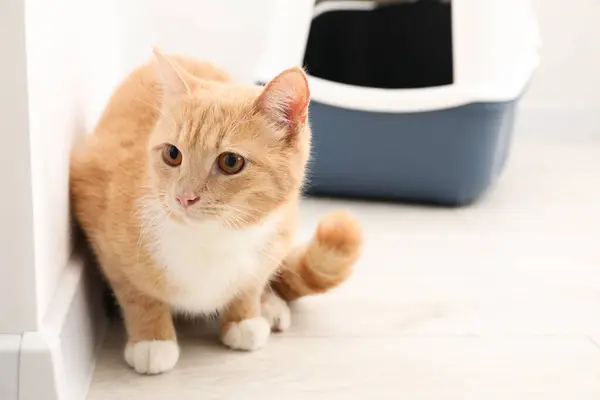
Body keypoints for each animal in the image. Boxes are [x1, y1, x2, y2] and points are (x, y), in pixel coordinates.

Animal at [70, 50, 360, 376]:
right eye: (172, 154)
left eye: (231, 162)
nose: (184, 197)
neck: (214, 237)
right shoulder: (94, 203)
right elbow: (136, 294)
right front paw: (152, 339)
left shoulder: (278, 232)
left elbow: (252, 282)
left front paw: (244, 317)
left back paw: (269, 305)